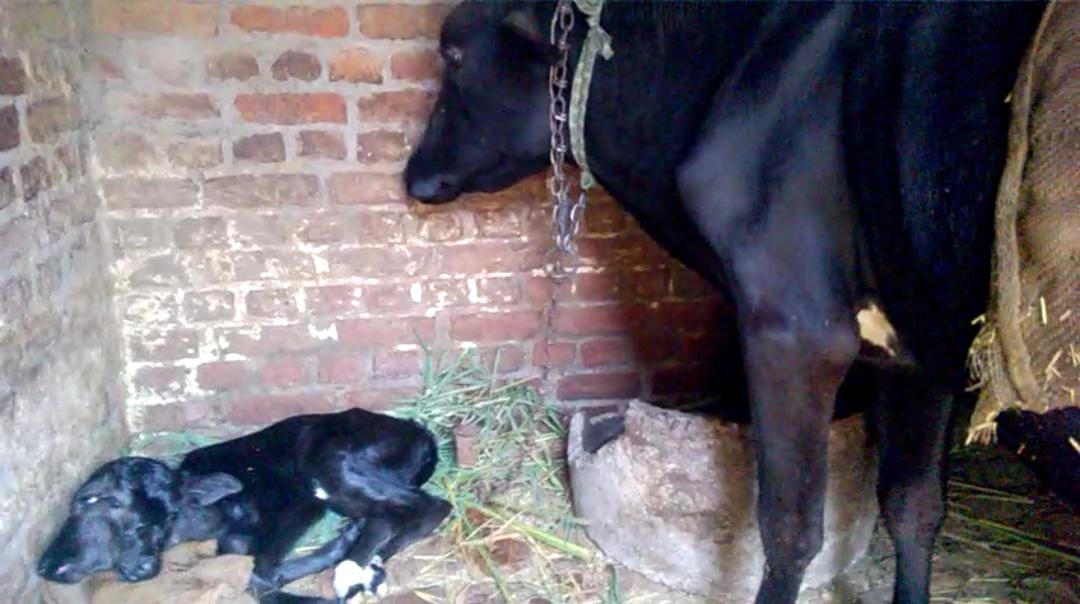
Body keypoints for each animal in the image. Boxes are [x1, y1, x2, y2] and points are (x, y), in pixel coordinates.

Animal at [403, 2, 1045, 603]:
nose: (414, 175)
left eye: (453, 55)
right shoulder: (922, 345)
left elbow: (790, 528)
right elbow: (914, 506)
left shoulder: (795, 328)